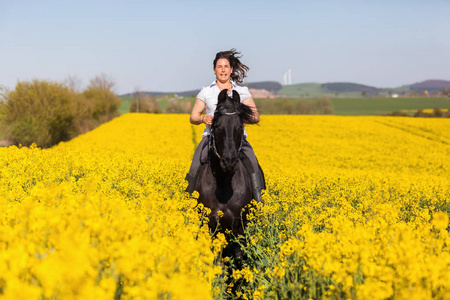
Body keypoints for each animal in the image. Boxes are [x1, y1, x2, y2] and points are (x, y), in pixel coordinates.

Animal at [197, 88, 260, 241]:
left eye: (239, 127)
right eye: (217, 127)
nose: (229, 162)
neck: (223, 181)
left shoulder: (240, 228)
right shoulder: (210, 226)